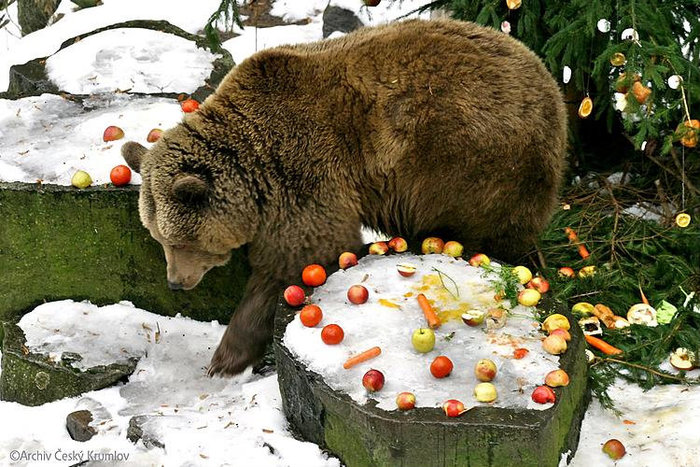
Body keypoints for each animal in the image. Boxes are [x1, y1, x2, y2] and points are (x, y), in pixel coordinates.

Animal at [121, 18, 568, 378]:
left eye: (181, 241)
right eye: (158, 238)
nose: (176, 282)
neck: (254, 167)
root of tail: (549, 81)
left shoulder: (305, 173)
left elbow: (301, 257)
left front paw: (227, 356)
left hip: (469, 162)